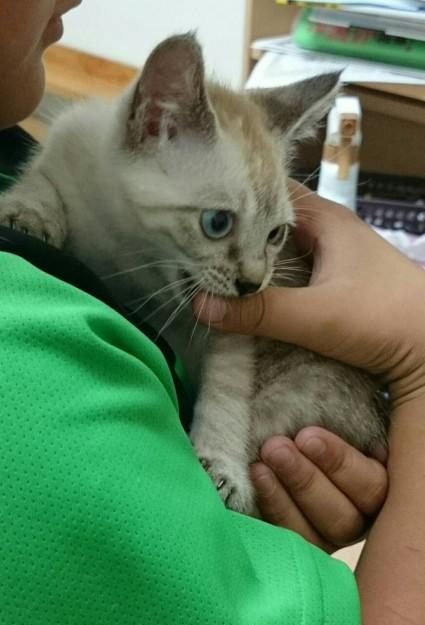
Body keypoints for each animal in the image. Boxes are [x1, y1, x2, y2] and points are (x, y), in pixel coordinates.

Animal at [0, 33, 388, 515]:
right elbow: (42, 177)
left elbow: (225, 390)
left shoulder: (228, 329)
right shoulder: (67, 139)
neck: (131, 253)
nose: (253, 284)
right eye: (217, 223)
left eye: (276, 235)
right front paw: (28, 214)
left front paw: (222, 468)